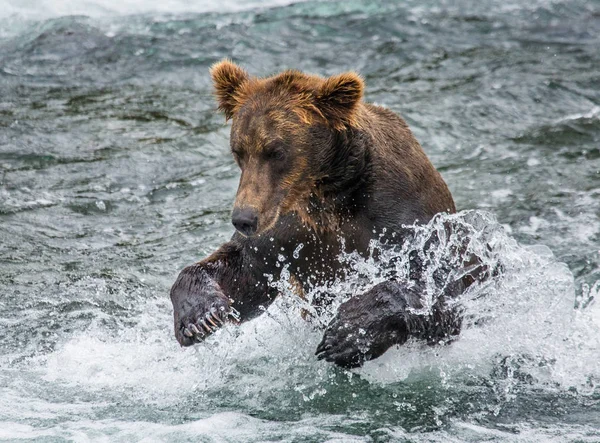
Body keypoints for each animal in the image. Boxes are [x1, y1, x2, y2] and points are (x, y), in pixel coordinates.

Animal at [170, 60, 482, 370]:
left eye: (276, 151)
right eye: (239, 150)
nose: (244, 218)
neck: (326, 195)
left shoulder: (399, 215)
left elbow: (436, 292)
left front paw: (347, 333)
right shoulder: (285, 231)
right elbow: (242, 274)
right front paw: (199, 317)